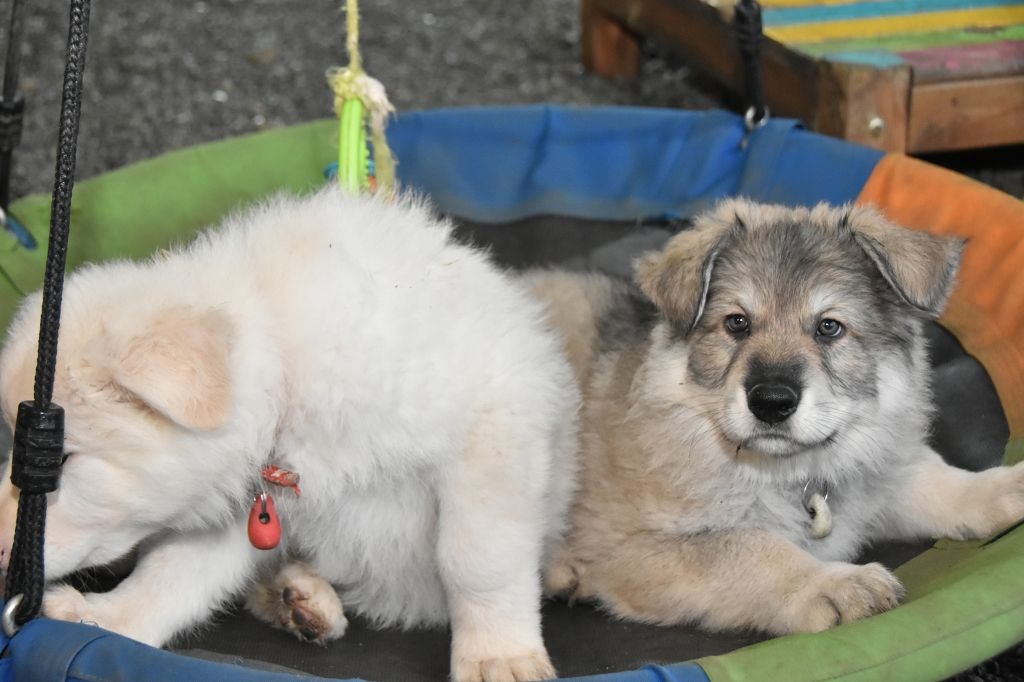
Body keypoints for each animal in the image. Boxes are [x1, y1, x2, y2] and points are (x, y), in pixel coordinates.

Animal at [0, 186, 579, 682]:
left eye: (61, 459)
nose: (4, 567)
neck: (287, 373)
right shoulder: (247, 505)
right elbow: (170, 574)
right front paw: (106, 621)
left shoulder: (494, 428)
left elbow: (476, 560)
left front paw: (498, 655)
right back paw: (297, 598)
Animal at [526, 199, 1024, 635]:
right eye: (737, 323)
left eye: (829, 327)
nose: (770, 401)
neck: (791, 475)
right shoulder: (639, 547)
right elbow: (752, 547)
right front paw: (831, 583)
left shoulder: (882, 476)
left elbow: (939, 481)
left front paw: (1000, 487)